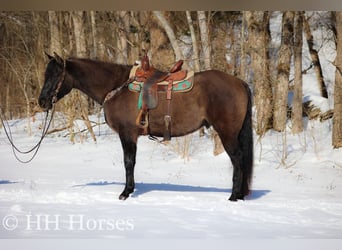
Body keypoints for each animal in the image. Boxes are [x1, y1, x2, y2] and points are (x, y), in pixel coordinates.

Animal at [38, 52, 254, 201]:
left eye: (55, 75)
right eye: (45, 74)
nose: (42, 101)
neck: (116, 87)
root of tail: (240, 83)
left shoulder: (127, 134)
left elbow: (129, 162)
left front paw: (125, 192)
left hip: (227, 133)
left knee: (238, 160)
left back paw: (234, 196)